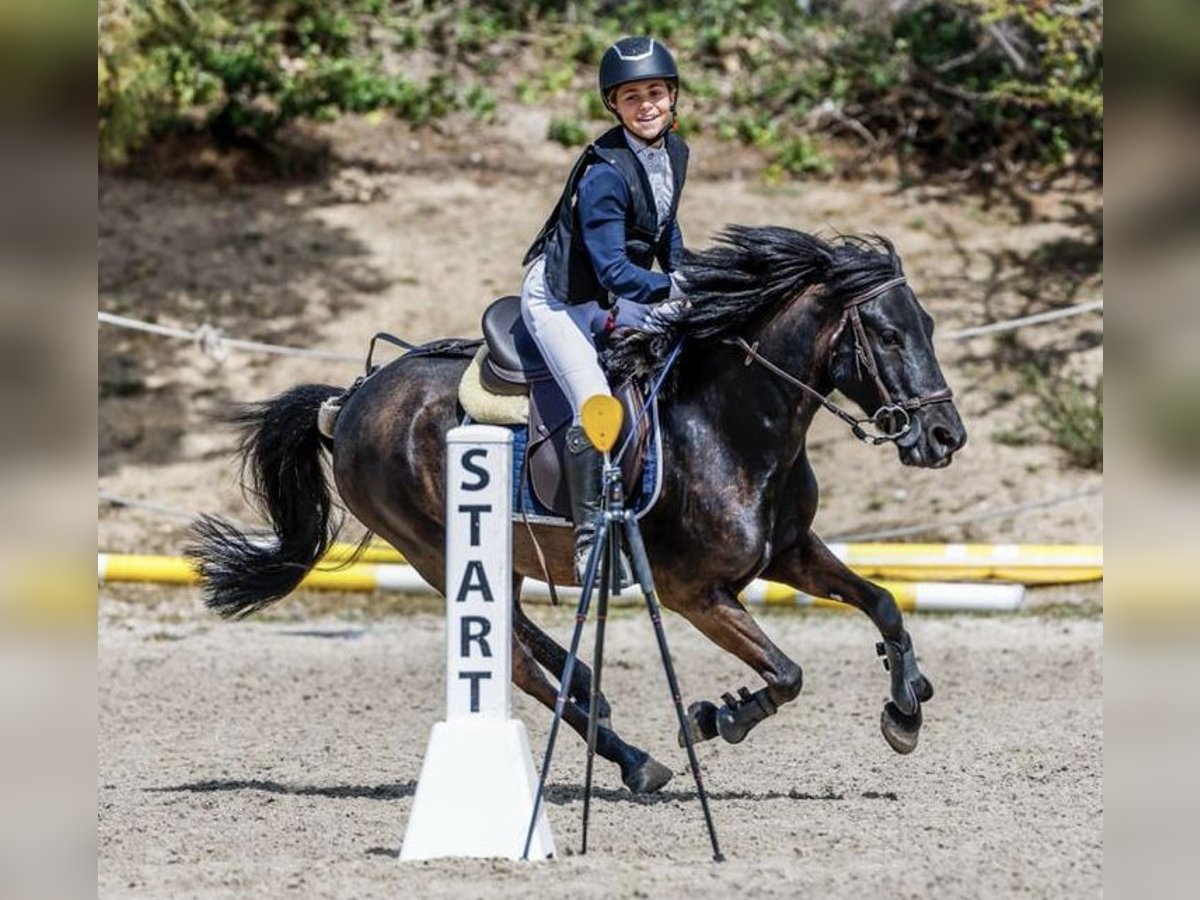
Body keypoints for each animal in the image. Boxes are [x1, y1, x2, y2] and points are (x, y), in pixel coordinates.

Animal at [192, 225, 969, 796]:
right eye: (888, 336)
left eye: (929, 325)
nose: (945, 437)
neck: (732, 423)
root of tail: (351, 398)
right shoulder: (695, 592)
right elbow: (786, 674)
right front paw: (715, 718)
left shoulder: (790, 553)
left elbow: (884, 604)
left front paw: (905, 708)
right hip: (436, 549)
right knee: (516, 662)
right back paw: (634, 759)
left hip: (490, 555)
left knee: (522, 639)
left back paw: (592, 689)